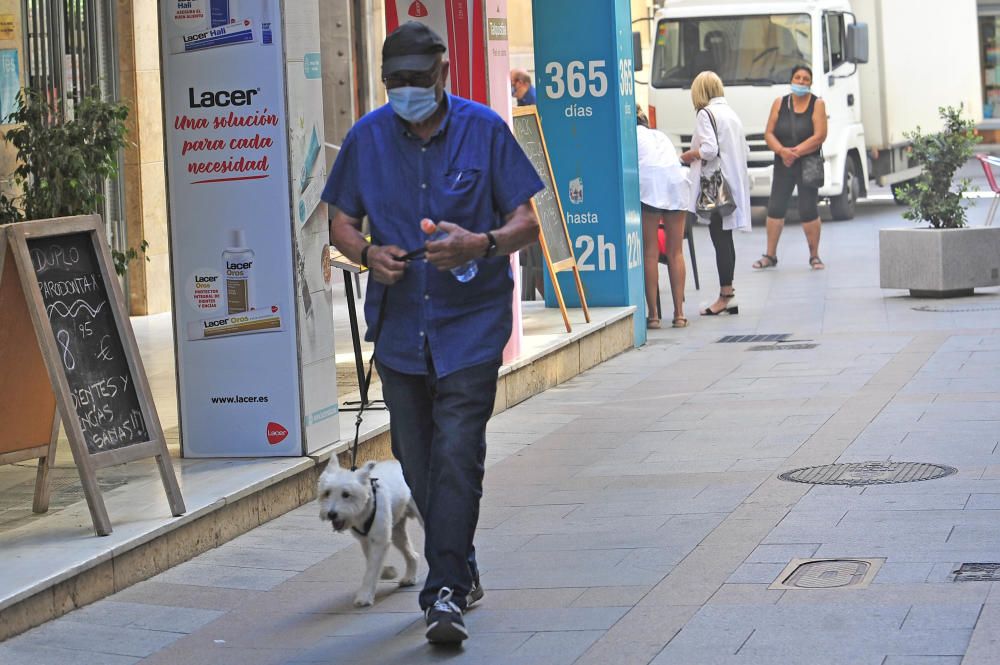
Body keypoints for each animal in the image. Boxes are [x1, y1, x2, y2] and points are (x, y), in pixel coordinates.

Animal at [314, 460, 420, 604]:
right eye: (327, 493)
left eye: (346, 494)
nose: (331, 514)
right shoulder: (366, 541)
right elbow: (371, 561)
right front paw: (388, 572)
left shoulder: (380, 540)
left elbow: (371, 569)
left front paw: (364, 596)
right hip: (397, 531)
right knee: (412, 555)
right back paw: (410, 577)